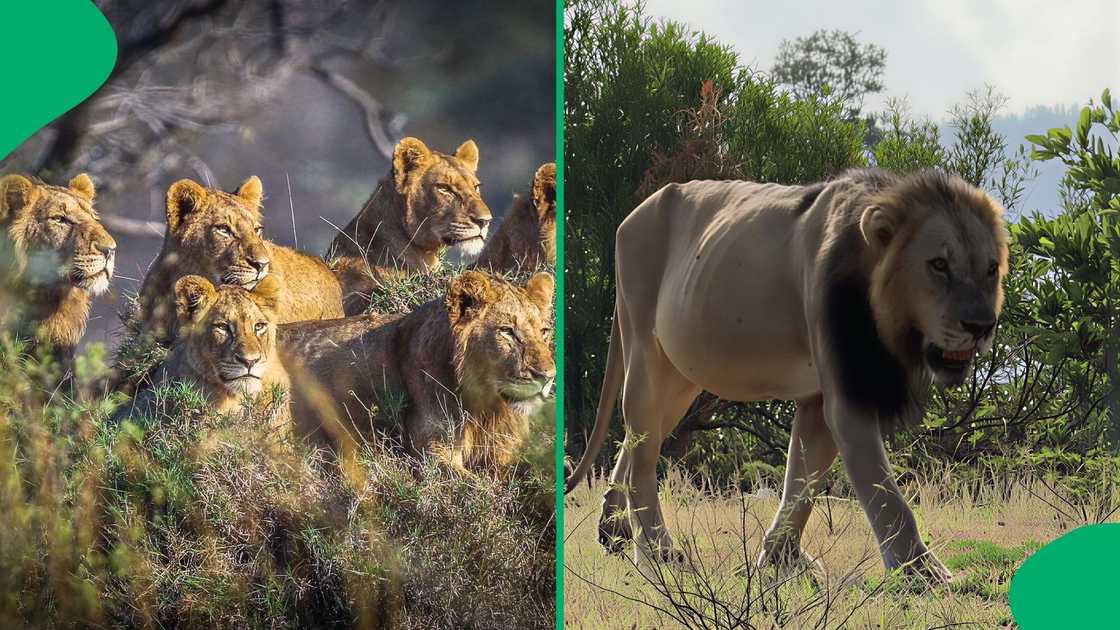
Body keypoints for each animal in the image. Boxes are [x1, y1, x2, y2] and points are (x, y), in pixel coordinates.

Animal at [279, 270, 555, 469]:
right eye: (507, 331)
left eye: (544, 331)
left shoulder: (506, 450)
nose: (547, 377)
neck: (487, 408)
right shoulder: (432, 449)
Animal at [565, 169, 1009, 584]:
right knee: (641, 456)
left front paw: (782, 559)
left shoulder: (818, 398)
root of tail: (632, 215)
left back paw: (615, 530)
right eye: (939, 265)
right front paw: (924, 573)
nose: (982, 325)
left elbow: (802, 480)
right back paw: (659, 552)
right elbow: (883, 492)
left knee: (638, 440)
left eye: (990, 269)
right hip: (645, 351)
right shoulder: (846, 395)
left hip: (680, 378)